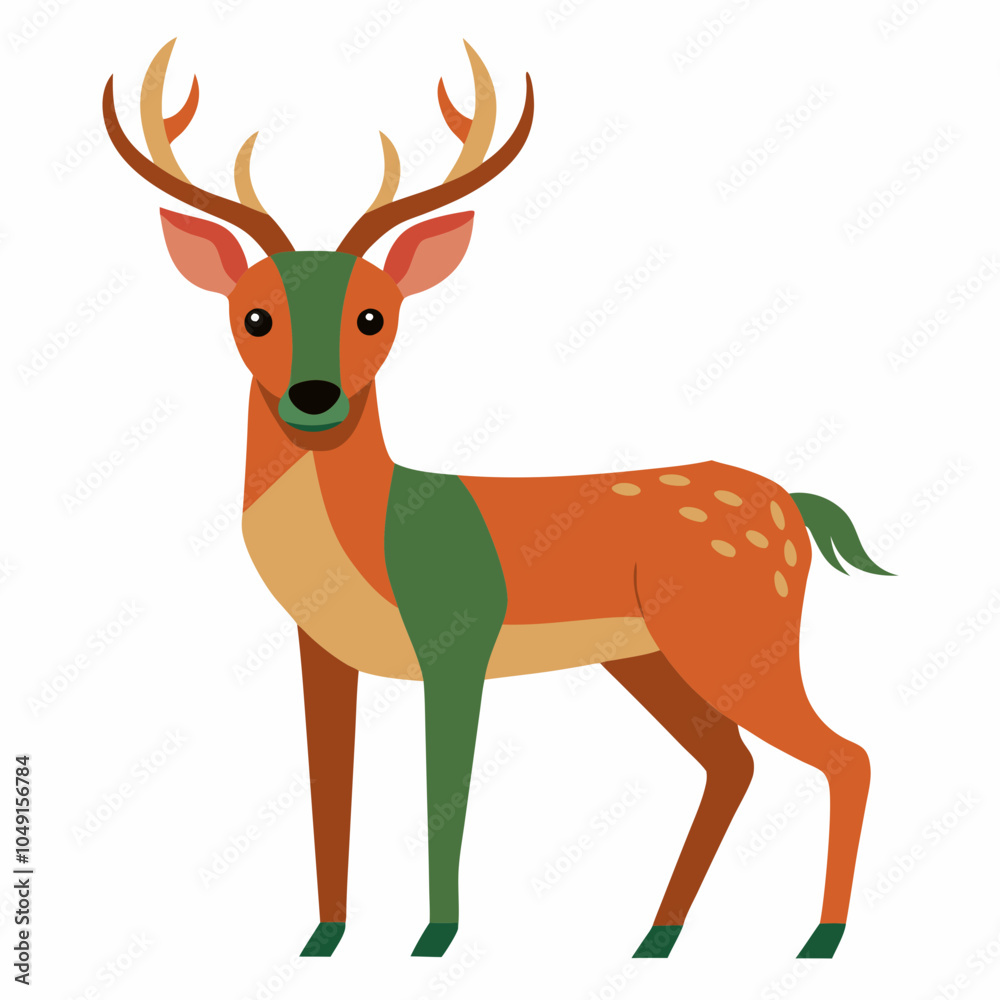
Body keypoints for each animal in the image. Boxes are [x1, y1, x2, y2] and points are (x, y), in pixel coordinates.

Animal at [103, 39, 891, 961]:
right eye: (254, 316)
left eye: (374, 316)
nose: (314, 395)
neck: (371, 543)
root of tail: (795, 505)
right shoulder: (320, 651)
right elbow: (328, 790)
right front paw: (324, 939)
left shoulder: (459, 635)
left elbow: (447, 793)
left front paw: (435, 938)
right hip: (651, 656)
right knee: (735, 764)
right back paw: (656, 938)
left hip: (737, 632)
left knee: (844, 754)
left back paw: (820, 939)